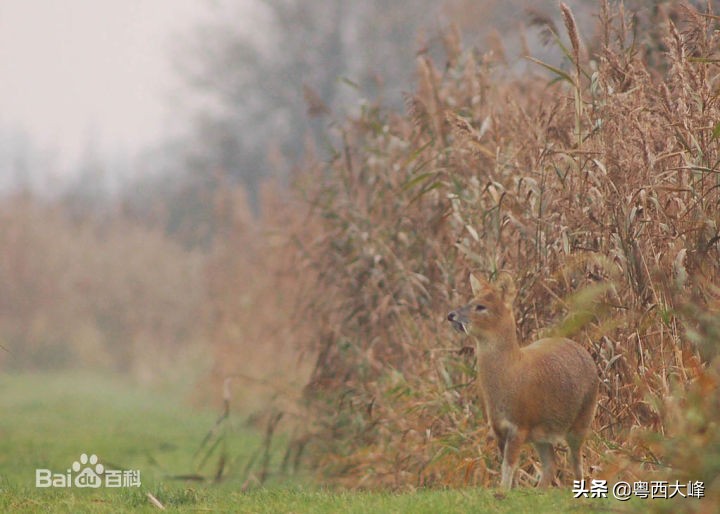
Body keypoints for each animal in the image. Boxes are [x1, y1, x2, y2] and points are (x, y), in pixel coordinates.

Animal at [448, 276, 600, 488]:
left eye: (481, 306)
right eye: (471, 300)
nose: (451, 315)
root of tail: (584, 351)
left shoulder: (519, 424)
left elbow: (508, 467)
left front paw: (502, 491)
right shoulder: (498, 428)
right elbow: (511, 470)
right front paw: (508, 491)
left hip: (583, 417)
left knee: (576, 459)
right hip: (542, 434)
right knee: (551, 464)